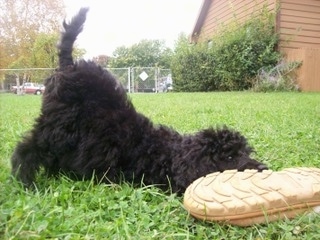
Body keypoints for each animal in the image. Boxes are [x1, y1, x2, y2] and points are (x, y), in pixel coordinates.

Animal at [10, 8, 268, 194]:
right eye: (229, 157)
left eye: (244, 152)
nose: (264, 168)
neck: (170, 154)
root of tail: (69, 66)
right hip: (60, 127)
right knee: (28, 148)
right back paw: (25, 181)